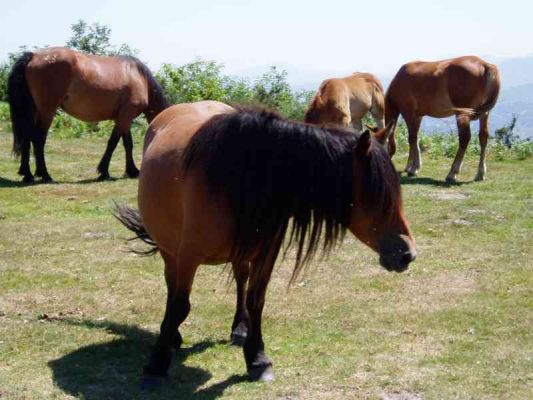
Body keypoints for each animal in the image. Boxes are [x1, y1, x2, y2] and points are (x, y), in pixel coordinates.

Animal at [7, 47, 169, 183]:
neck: (140, 78)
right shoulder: (125, 117)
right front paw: (104, 171)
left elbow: (127, 144)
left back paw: (27, 174)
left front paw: (132, 171)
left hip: (33, 111)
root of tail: (34, 56)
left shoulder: (124, 118)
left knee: (27, 138)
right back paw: (45, 175)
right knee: (38, 139)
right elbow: (113, 143)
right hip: (47, 111)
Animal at [116, 101, 416, 388]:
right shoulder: (187, 255)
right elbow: (180, 304)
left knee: (240, 279)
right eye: (378, 194)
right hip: (170, 249)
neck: (236, 179)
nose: (408, 253)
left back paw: (239, 328)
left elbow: (256, 301)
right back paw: (173, 334)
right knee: (172, 284)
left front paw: (257, 358)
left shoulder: (265, 253)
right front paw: (156, 365)